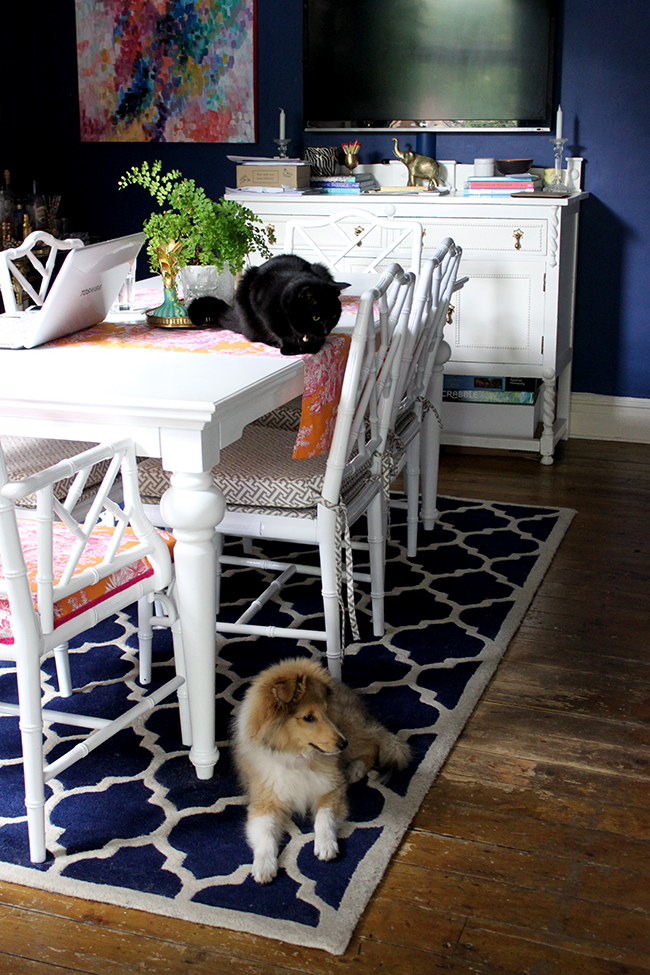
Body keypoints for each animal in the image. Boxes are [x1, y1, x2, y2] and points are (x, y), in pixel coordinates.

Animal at [185, 254, 350, 356]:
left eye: (334, 315)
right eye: (316, 317)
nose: (326, 330)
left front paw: (314, 345)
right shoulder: (265, 313)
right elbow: (279, 332)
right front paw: (289, 348)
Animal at [233, 660, 410, 880]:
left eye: (325, 712)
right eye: (308, 717)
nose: (342, 743)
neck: (297, 755)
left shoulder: (331, 788)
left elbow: (324, 817)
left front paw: (326, 846)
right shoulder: (264, 800)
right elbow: (265, 833)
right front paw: (264, 866)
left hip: (350, 728)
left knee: (373, 744)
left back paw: (355, 769)